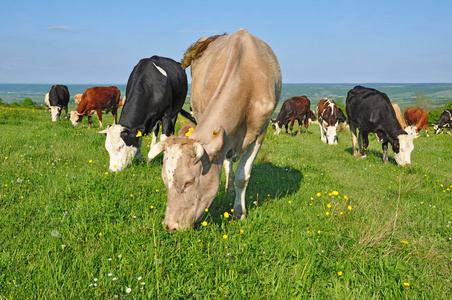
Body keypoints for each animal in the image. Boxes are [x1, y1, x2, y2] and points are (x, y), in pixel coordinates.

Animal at [147, 28, 280, 231]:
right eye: (165, 180)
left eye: (189, 181)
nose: (170, 226)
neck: (247, 78)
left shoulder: (261, 131)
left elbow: (243, 175)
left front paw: (239, 212)